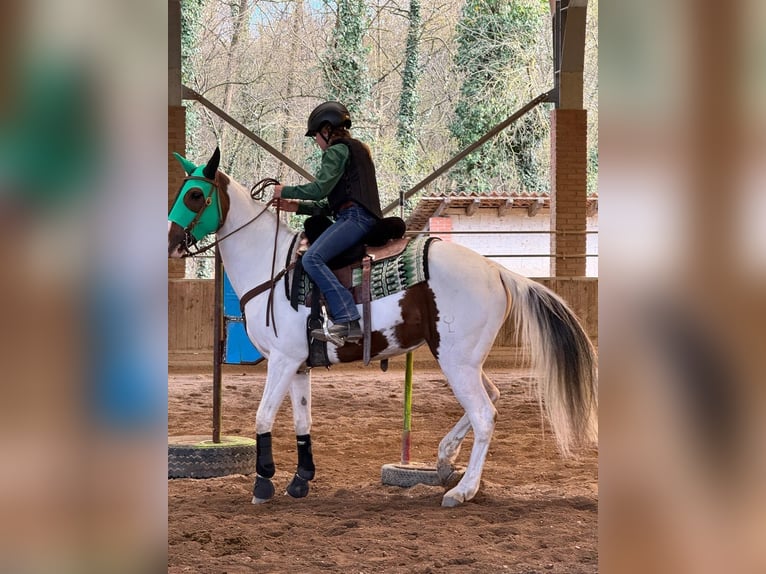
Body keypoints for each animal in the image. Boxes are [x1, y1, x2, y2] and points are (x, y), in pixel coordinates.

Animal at [168, 148, 598, 507]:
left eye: (194, 195)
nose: (172, 242)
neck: (273, 269)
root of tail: (496, 270)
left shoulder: (282, 360)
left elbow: (262, 416)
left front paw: (263, 482)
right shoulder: (299, 365)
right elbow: (302, 421)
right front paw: (301, 479)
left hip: (456, 361)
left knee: (484, 414)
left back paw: (462, 490)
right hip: (467, 360)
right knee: (492, 397)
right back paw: (445, 461)